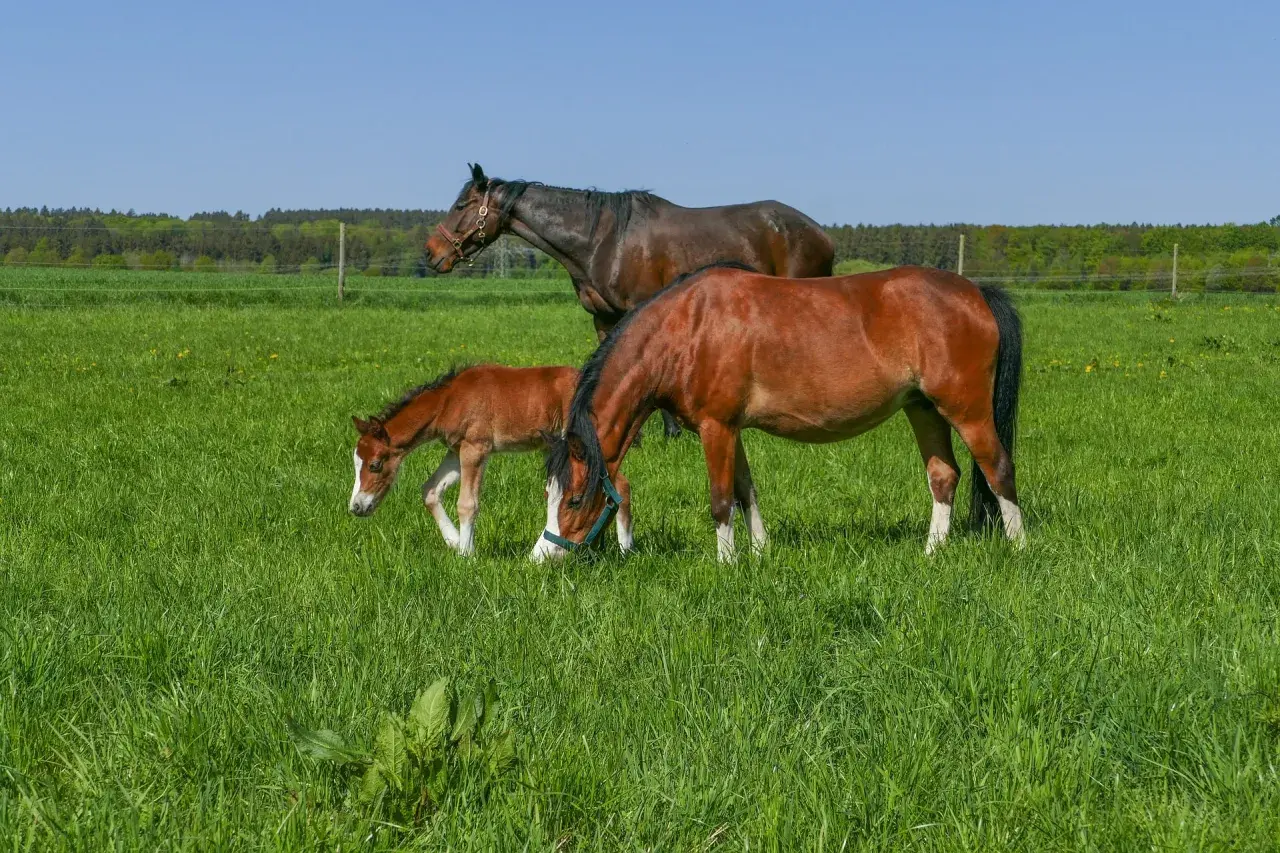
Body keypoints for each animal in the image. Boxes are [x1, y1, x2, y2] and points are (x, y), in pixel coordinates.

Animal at [348, 364, 633, 557]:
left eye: (375, 465)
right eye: (356, 463)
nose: (356, 507)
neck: (449, 400)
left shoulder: (476, 448)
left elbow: (467, 504)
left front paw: (467, 555)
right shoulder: (456, 449)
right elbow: (430, 490)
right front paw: (454, 542)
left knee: (620, 484)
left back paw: (625, 550)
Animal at [424, 163, 835, 438]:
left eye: (461, 205)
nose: (430, 254)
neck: (603, 240)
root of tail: (820, 233)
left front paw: (670, 431)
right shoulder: (603, 318)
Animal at [529, 262, 1025, 563]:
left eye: (574, 499)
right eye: (549, 496)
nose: (542, 557)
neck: (686, 327)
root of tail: (975, 291)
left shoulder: (715, 427)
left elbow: (721, 499)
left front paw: (726, 563)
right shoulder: (731, 430)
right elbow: (746, 491)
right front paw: (760, 552)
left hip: (966, 410)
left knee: (998, 469)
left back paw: (1020, 549)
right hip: (923, 409)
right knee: (944, 476)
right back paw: (931, 553)